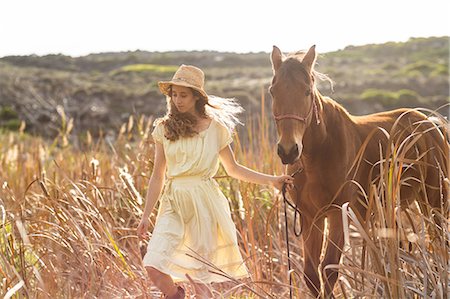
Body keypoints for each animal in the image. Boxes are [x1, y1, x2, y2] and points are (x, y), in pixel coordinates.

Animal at [268, 45, 448, 298]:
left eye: (306, 92)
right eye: (273, 92)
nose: (288, 150)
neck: (320, 154)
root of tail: (431, 122)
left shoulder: (337, 213)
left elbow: (329, 270)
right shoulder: (310, 217)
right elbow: (312, 275)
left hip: (433, 201)